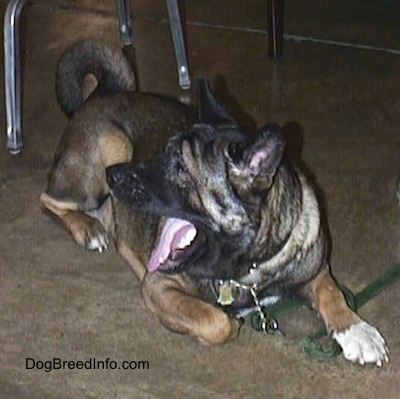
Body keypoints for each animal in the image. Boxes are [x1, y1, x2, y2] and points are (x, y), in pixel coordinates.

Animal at [41, 39, 388, 366]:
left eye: (180, 168)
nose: (112, 176)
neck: (247, 266)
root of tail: (103, 93)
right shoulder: (158, 286)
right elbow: (216, 322)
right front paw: (229, 323)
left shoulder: (315, 270)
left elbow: (332, 292)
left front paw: (356, 330)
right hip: (111, 149)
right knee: (49, 199)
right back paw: (88, 228)